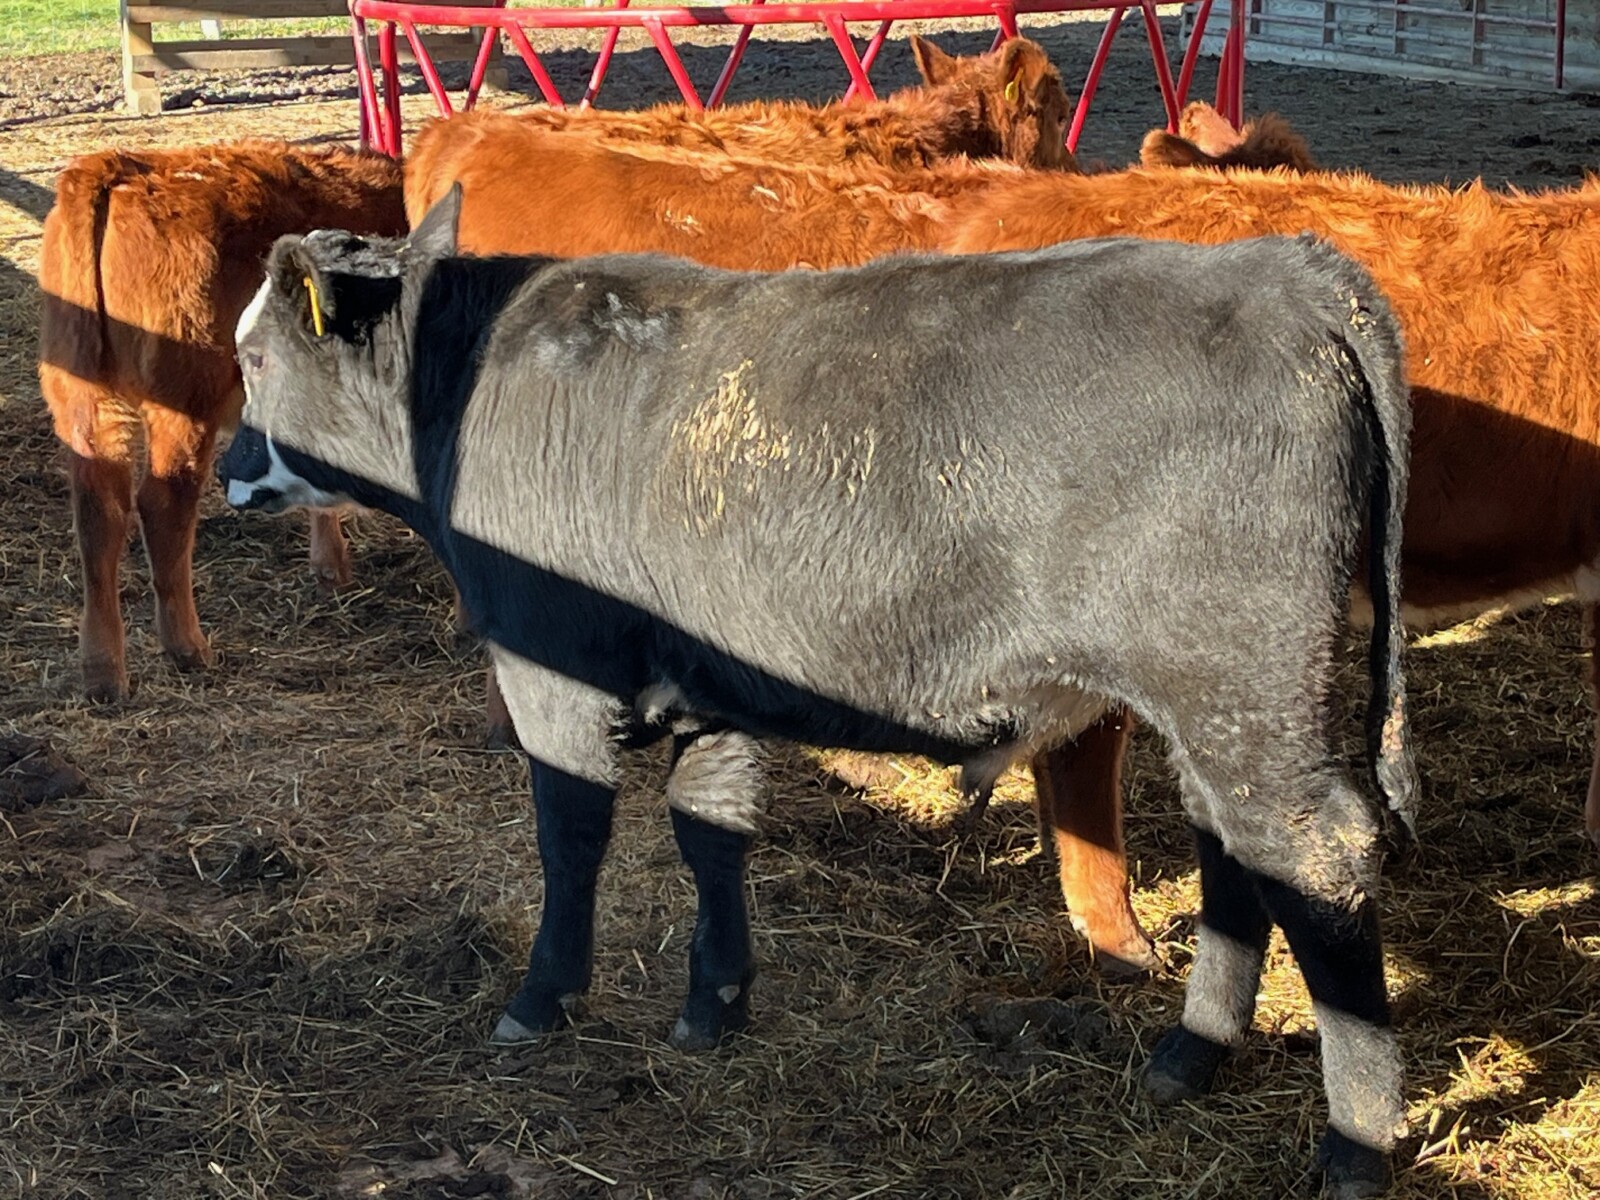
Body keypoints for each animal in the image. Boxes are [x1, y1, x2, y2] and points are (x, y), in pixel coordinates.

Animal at [37, 141, 406, 701]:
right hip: (183, 403)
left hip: (85, 399)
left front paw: (330, 569)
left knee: (99, 512)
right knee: (162, 506)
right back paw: (187, 648)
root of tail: (117, 169)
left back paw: (103, 672)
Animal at [218, 189, 1416, 1198]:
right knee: (1237, 856)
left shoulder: (550, 670)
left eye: (256, 358)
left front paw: (542, 996)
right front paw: (715, 1002)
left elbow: (570, 832)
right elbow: (708, 830)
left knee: (1314, 861)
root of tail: (1287, 268)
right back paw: (1188, 1056)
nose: (229, 468)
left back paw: (1355, 1144)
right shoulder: (709, 685)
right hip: (1225, 705)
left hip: (1244, 691)